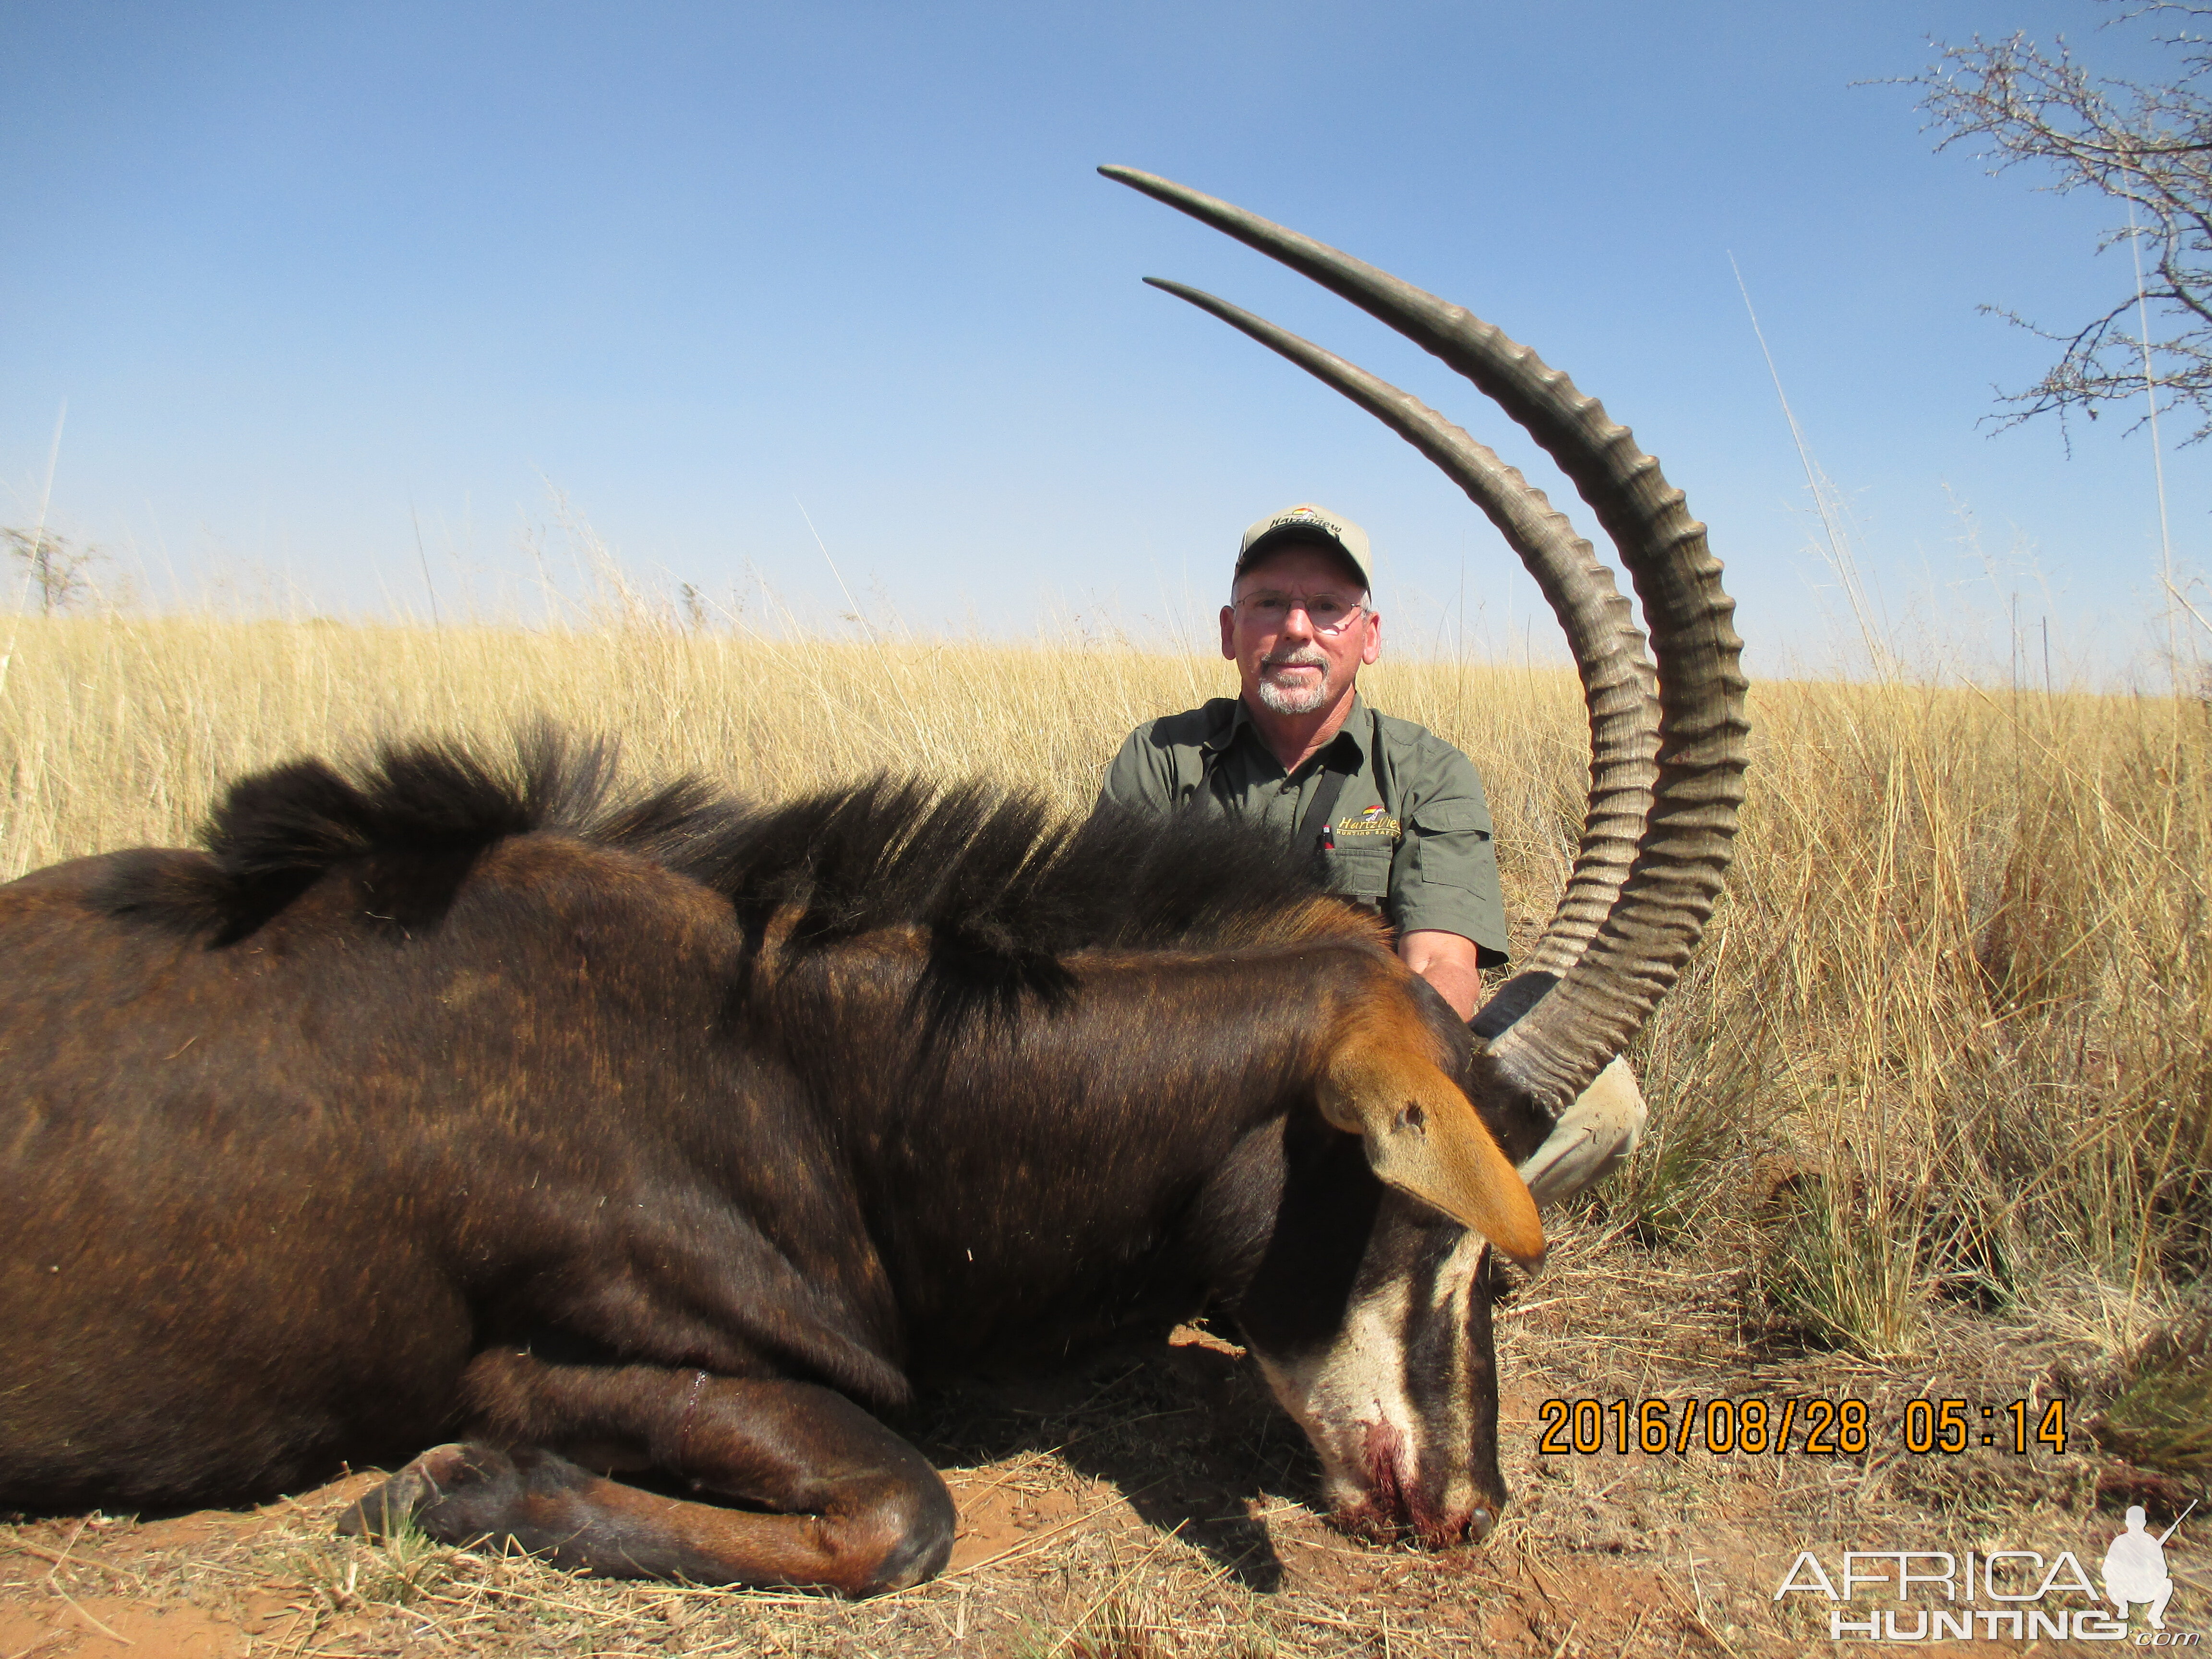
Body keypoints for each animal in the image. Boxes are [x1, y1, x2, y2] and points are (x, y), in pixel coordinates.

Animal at [0, 169, 1743, 1601]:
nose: (1467, 1504)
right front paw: (439, 1489)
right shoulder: (560, 1358)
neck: (788, 1055)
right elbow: (906, 1512)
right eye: (1426, 1206)